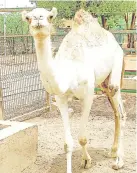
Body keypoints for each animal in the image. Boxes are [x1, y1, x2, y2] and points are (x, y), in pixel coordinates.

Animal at [22, 7, 126, 172]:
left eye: (50, 16)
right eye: (28, 18)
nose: (38, 19)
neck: (68, 73)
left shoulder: (88, 95)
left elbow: (82, 138)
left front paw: (86, 161)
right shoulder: (60, 99)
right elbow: (67, 144)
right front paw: (82, 161)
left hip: (116, 68)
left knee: (120, 112)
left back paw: (119, 161)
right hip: (103, 83)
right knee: (116, 112)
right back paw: (113, 151)